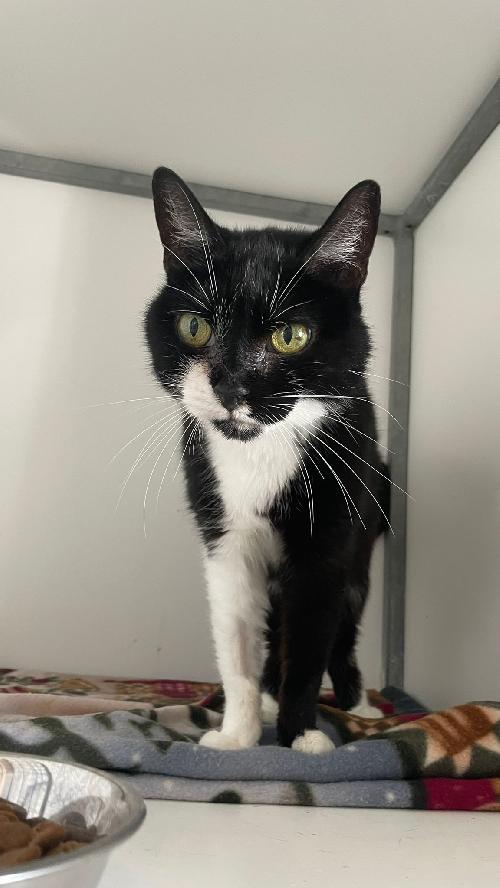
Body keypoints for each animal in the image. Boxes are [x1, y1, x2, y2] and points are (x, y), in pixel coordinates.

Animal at [145, 167, 390, 753]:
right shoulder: (223, 533)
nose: (231, 386)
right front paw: (238, 732)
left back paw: (359, 706)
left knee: (342, 629)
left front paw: (301, 736)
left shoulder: (329, 540)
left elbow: (310, 643)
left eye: (291, 336)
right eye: (194, 328)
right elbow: (235, 636)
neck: (258, 450)